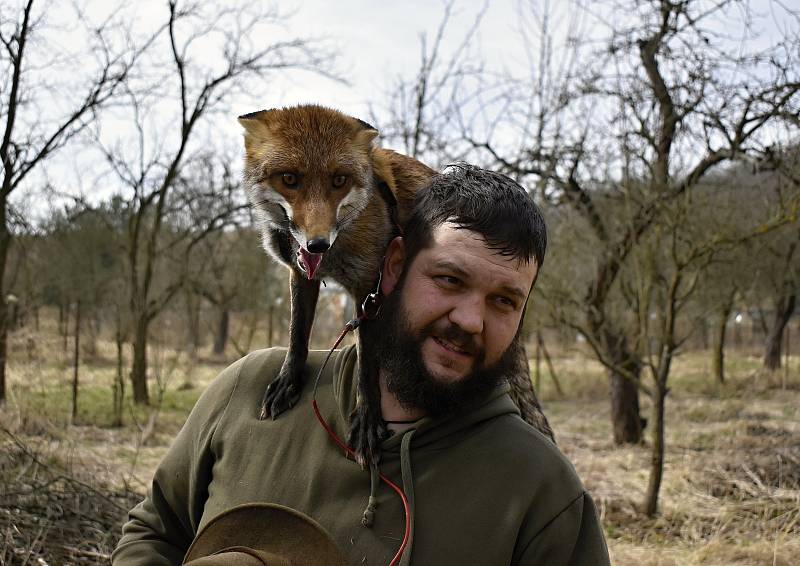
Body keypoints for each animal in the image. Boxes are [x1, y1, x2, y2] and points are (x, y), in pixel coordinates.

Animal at [234, 104, 552, 468]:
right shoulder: (302, 274)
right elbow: (297, 335)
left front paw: (367, 417)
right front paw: (288, 381)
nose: (317, 244)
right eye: (289, 179)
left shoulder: (369, 284)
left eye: (339, 180)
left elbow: (367, 363)